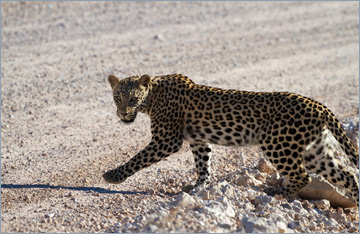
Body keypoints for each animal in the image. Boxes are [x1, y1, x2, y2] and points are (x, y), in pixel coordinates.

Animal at [102, 73, 358, 207]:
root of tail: (320, 105)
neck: (152, 97)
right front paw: (199, 186)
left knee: (303, 176)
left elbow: (138, 158)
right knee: (346, 175)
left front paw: (114, 176)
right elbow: (203, 165)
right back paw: (355, 204)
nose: (123, 114)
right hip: (314, 151)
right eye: (117, 98)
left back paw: (273, 193)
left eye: (133, 99)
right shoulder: (199, 141)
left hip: (277, 144)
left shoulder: (166, 140)